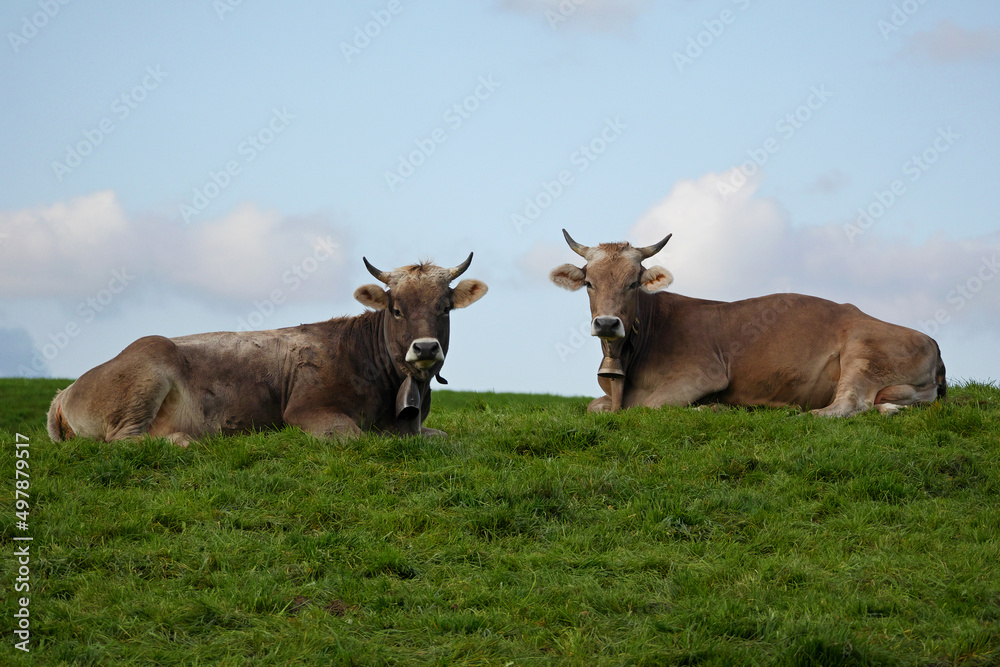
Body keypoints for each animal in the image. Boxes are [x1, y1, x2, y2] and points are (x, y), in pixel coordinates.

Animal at [49, 253, 488, 446]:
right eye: (396, 310)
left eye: (444, 308)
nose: (425, 346)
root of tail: (66, 390)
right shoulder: (307, 410)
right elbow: (355, 437)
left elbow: (444, 437)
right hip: (148, 364)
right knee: (122, 439)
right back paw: (182, 441)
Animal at [548, 231, 944, 418]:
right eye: (589, 283)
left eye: (633, 283)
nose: (607, 322)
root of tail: (933, 343)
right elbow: (593, 407)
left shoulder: (704, 373)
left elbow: (646, 408)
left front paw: (712, 408)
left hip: (864, 352)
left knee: (845, 405)